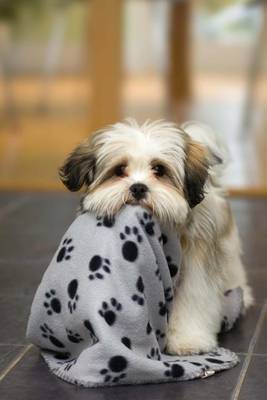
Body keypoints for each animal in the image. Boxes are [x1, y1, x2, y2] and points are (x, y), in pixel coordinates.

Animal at [59, 118, 254, 354]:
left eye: (159, 169)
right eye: (119, 170)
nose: (138, 188)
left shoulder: (197, 263)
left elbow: (193, 299)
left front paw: (188, 339)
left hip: (227, 245)